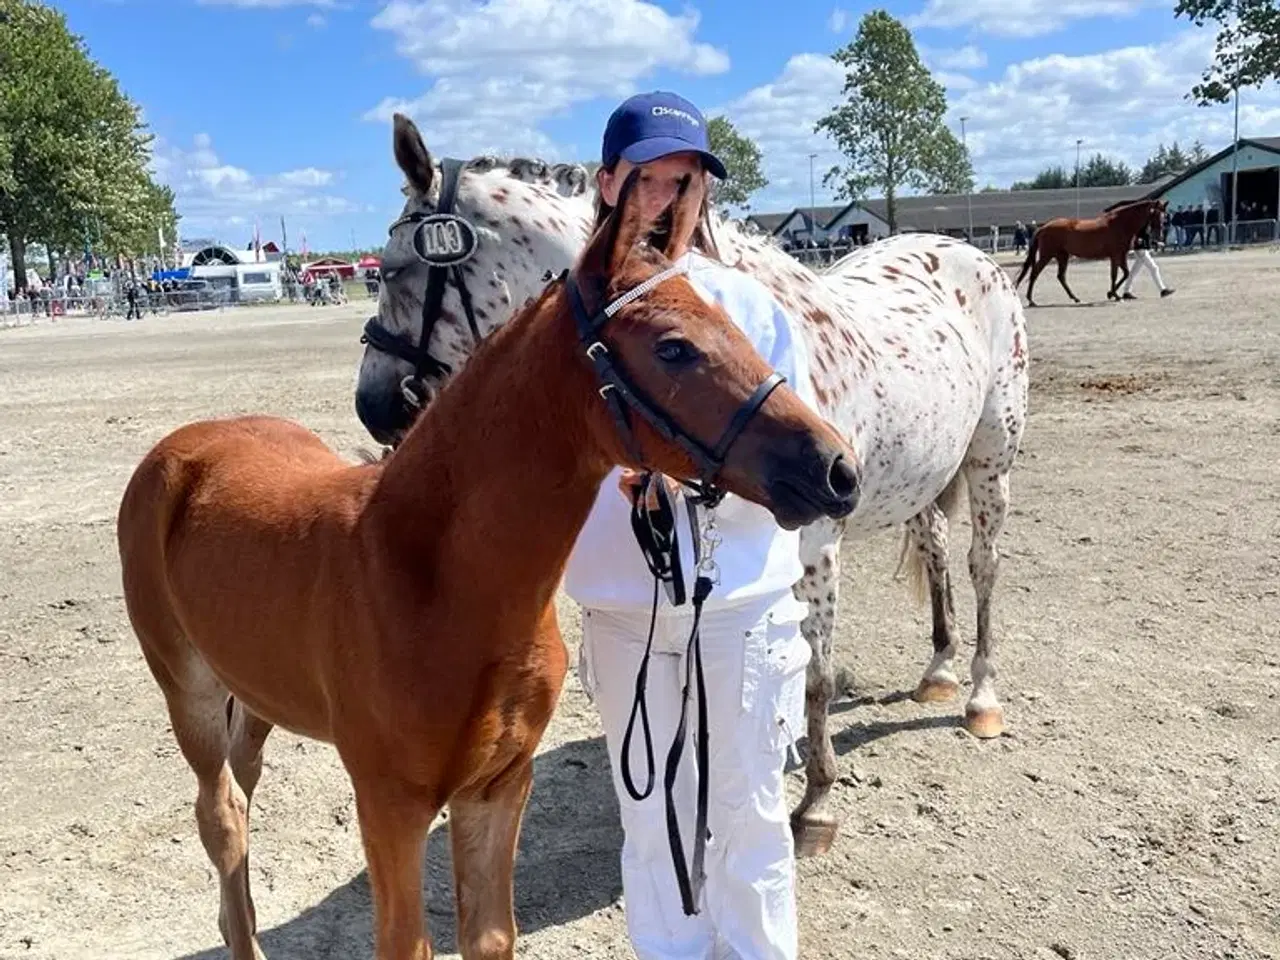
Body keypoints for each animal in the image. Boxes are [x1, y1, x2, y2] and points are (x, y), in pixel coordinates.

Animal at [115, 169, 860, 960]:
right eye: (674, 348)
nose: (836, 468)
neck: (437, 581)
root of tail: (187, 444)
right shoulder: (390, 803)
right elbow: (405, 943)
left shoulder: (498, 787)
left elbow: (491, 935)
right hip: (187, 689)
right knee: (220, 811)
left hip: (254, 689)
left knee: (243, 784)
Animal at [354, 114, 1030, 858]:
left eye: (392, 269)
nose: (372, 405)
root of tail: (964, 254)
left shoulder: (816, 544)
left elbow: (815, 675)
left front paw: (816, 804)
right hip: (927, 478)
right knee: (936, 549)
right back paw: (938, 671)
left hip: (991, 461)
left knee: (983, 565)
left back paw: (980, 698)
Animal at [1013, 198, 1167, 306]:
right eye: (1155, 214)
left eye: (1164, 215)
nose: (1159, 236)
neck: (1120, 224)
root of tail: (1043, 227)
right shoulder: (1115, 255)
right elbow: (1115, 275)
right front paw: (1114, 294)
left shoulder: (1121, 255)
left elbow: (1125, 273)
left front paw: (1112, 294)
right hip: (1047, 255)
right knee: (1035, 273)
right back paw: (1031, 300)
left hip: (1063, 256)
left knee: (1061, 276)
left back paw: (1075, 298)